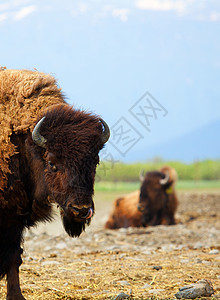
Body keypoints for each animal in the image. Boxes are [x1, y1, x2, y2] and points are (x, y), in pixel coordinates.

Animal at [0, 68, 110, 300]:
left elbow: (14, 257)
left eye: (95, 160)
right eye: (51, 162)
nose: (80, 209)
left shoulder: (15, 218)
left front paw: (17, 296)